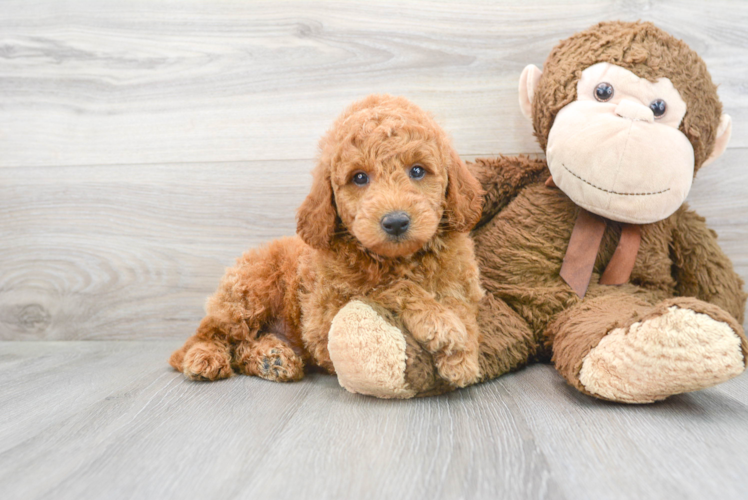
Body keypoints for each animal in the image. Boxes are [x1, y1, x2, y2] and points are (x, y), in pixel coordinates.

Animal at [169, 95, 486, 388]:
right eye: (359, 177)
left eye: (418, 170)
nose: (395, 222)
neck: (398, 260)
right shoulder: (323, 321)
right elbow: (387, 287)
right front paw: (441, 324)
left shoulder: (460, 285)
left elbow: (463, 312)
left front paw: (462, 358)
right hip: (249, 291)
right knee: (208, 335)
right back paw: (205, 357)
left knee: (243, 344)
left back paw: (273, 359)